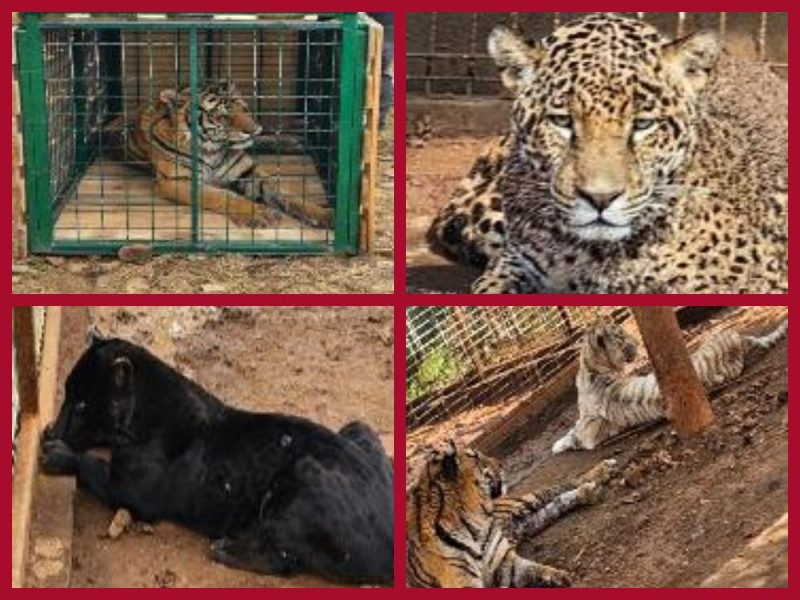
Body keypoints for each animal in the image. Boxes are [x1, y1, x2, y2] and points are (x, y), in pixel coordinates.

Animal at [127, 81, 332, 229]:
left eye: (244, 108)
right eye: (222, 116)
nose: (252, 130)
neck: (213, 150)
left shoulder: (248, 171)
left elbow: (287, 194)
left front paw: (324, 214)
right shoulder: (178, 181)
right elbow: (223, 197)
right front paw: (259, 213)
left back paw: (294, 142)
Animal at [406, 439, 617, 588]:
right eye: (477, 457)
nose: (500, 463)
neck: (473, 523)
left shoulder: (505, 564)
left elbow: (537, 569)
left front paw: (562, 576)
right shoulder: (465, 581)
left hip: (522, 503)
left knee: (561, 486)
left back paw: (602, 471)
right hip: (526, 522)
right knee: (553, 505)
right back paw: (590, 491)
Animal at [552, 316, 789, 454]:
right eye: (622, 338)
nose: (637, 344)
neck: (590, 364)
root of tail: (737, 341)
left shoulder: (588, 428)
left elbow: (572, 432)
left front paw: (556, 445)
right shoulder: (588, 428)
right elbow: (572, 432)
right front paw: (558, 445)